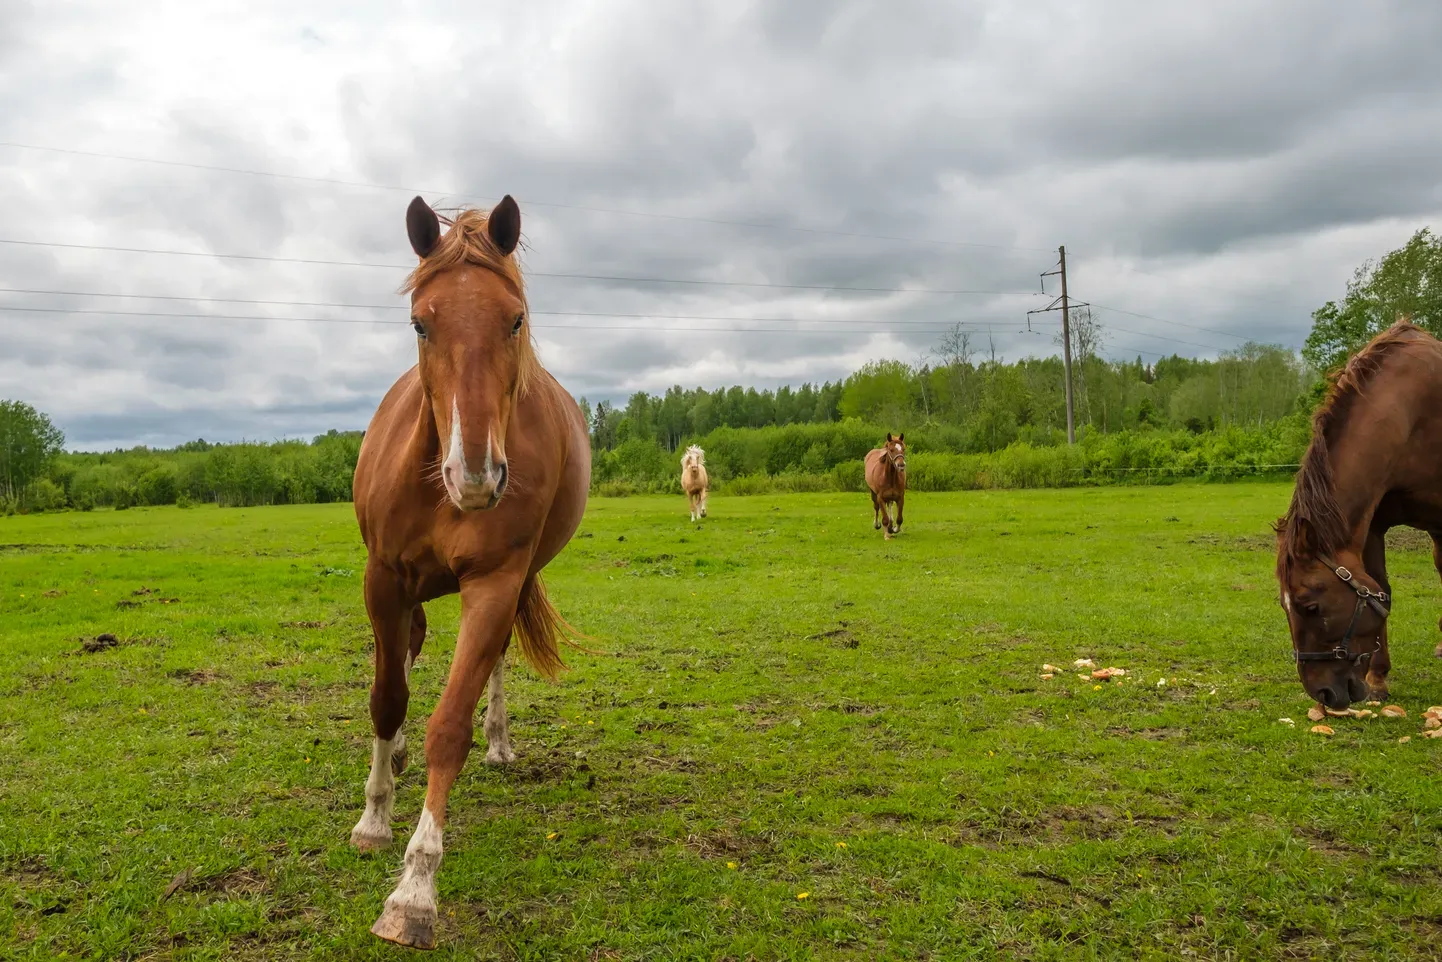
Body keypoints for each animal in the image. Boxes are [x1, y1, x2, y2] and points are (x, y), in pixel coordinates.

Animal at [348, 193, 591, 946]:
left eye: (514, 319)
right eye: (420, 323)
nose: (477, 476)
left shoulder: (493, 583)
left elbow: (449, 723)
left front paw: (415, 890)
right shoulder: (384, 579)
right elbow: (387, 697)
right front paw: (374, 817)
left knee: (494, 661)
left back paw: (499, 742)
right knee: (406, 658)